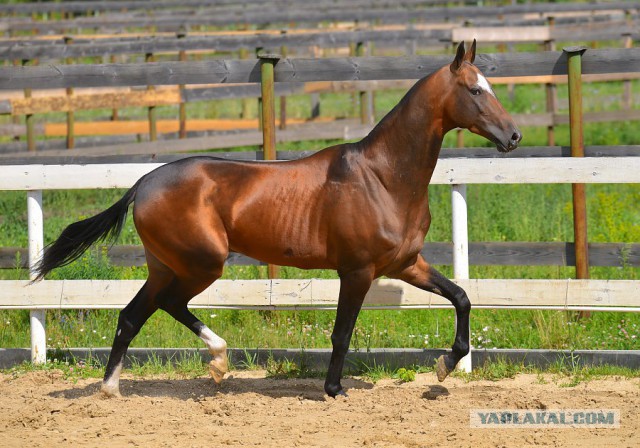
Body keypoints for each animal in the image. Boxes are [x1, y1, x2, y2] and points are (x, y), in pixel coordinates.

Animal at [33, 41, 520, 400]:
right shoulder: (357, 270)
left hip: (165, 265)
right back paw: (217, 361)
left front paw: (445, 366)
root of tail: (144, 182)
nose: (513, 136)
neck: (383, 178)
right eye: (476, 91)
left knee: (131, 316)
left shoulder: (405, 264)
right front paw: (333, 389)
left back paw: (112, 389)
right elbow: (342, 332)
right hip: (202, 263)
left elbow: (461, 297)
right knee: (169, 304)